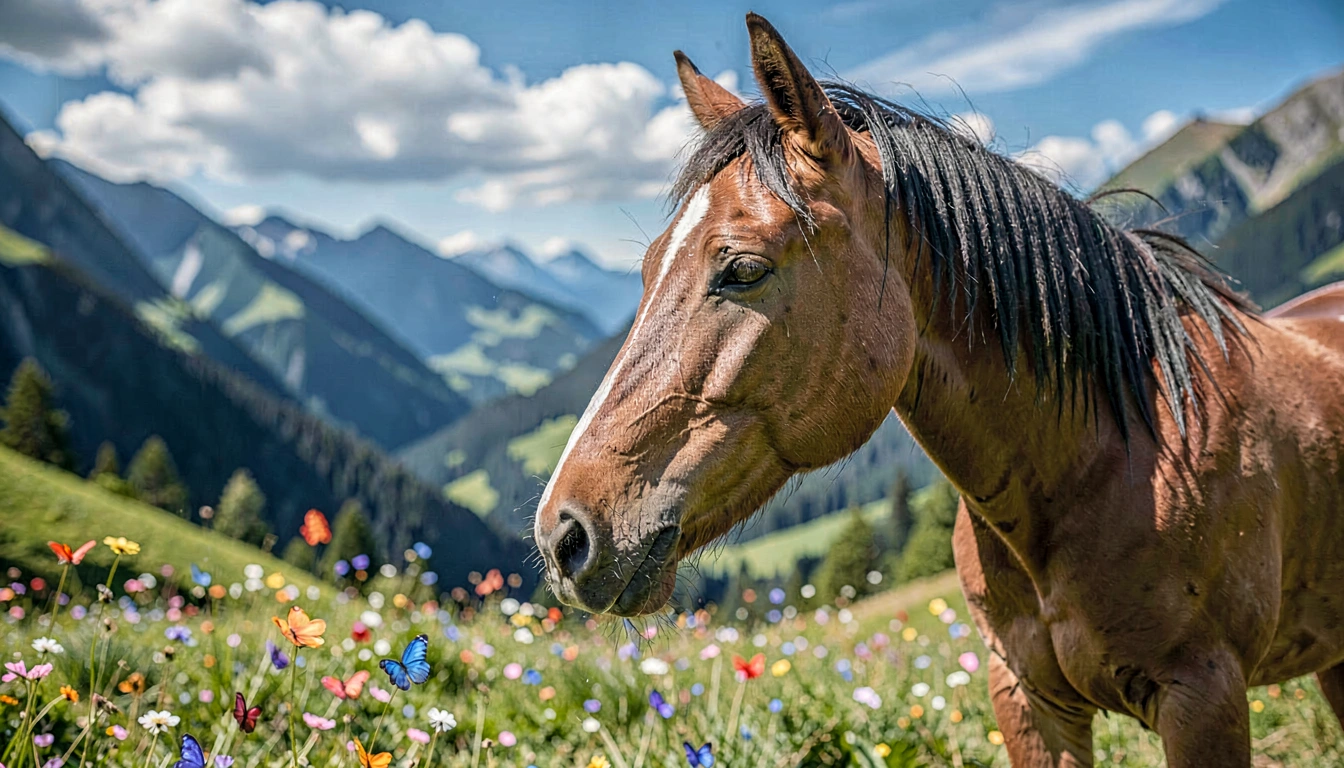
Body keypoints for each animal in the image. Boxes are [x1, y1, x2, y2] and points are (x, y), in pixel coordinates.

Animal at [532, 13, 1344, 766]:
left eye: (743, 268)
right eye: (646, 269)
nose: (563, 535)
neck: (1115, 458)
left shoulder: (1204, 697)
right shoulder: (1027, 699)